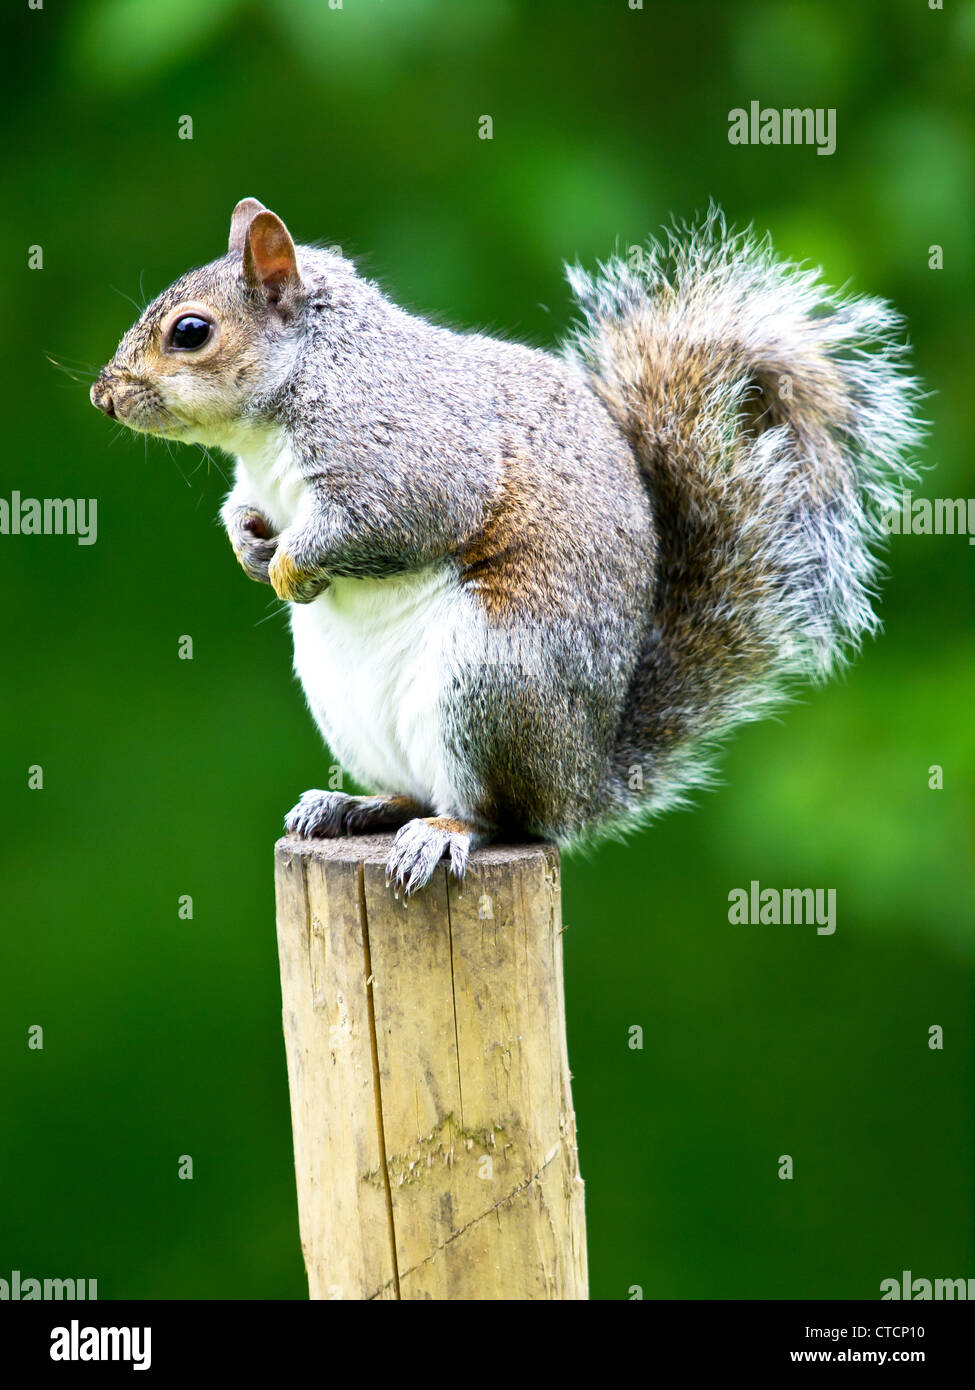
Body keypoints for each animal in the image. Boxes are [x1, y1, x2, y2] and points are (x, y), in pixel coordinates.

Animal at [91, 198, 917, 889]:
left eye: (190, 331)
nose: (102, 395)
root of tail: (581, 784)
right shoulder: (262, 485)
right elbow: (241, 511)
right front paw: (250, 549)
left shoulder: (406, 457)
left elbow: (392, 521)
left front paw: (293, 567)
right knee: (411, 792)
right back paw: (351, 807)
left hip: (491, 679)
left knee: (496, 814)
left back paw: (445, 832)